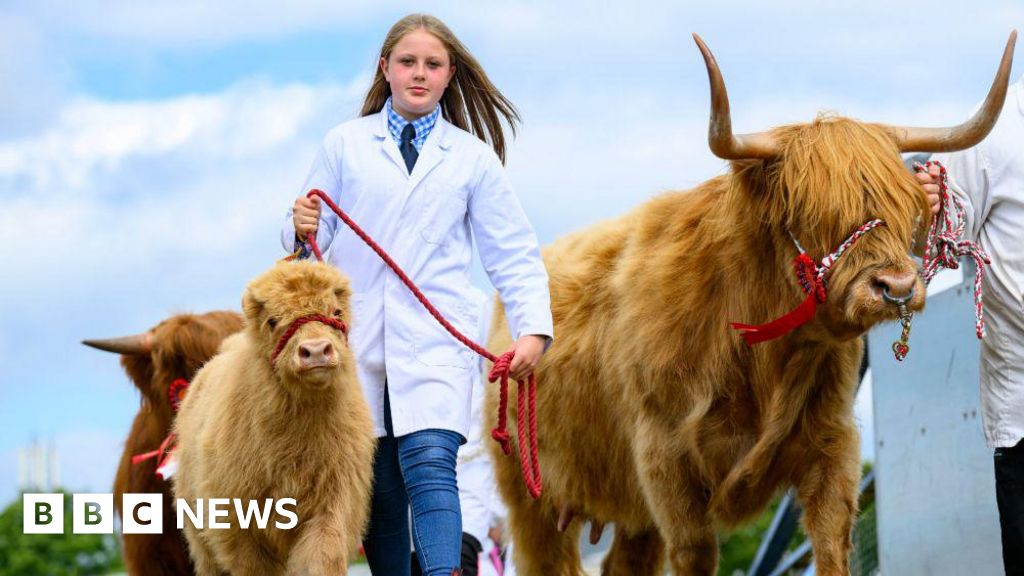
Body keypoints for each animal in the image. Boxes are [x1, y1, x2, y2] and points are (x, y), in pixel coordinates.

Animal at [172, 261, 376, 573]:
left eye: (336, 313)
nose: (316, 351)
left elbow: (321, 558)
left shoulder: (333, 506)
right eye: (272, 321)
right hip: (201, 539)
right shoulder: (239, 527)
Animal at [487, 33, 1015, 569]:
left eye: (907, 205)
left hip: (629, 512)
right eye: (810, 213)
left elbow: (831, 545)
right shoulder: (664, 461)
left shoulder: (833, 445)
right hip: (531, 495)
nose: (898, 287)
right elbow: (695, 553)